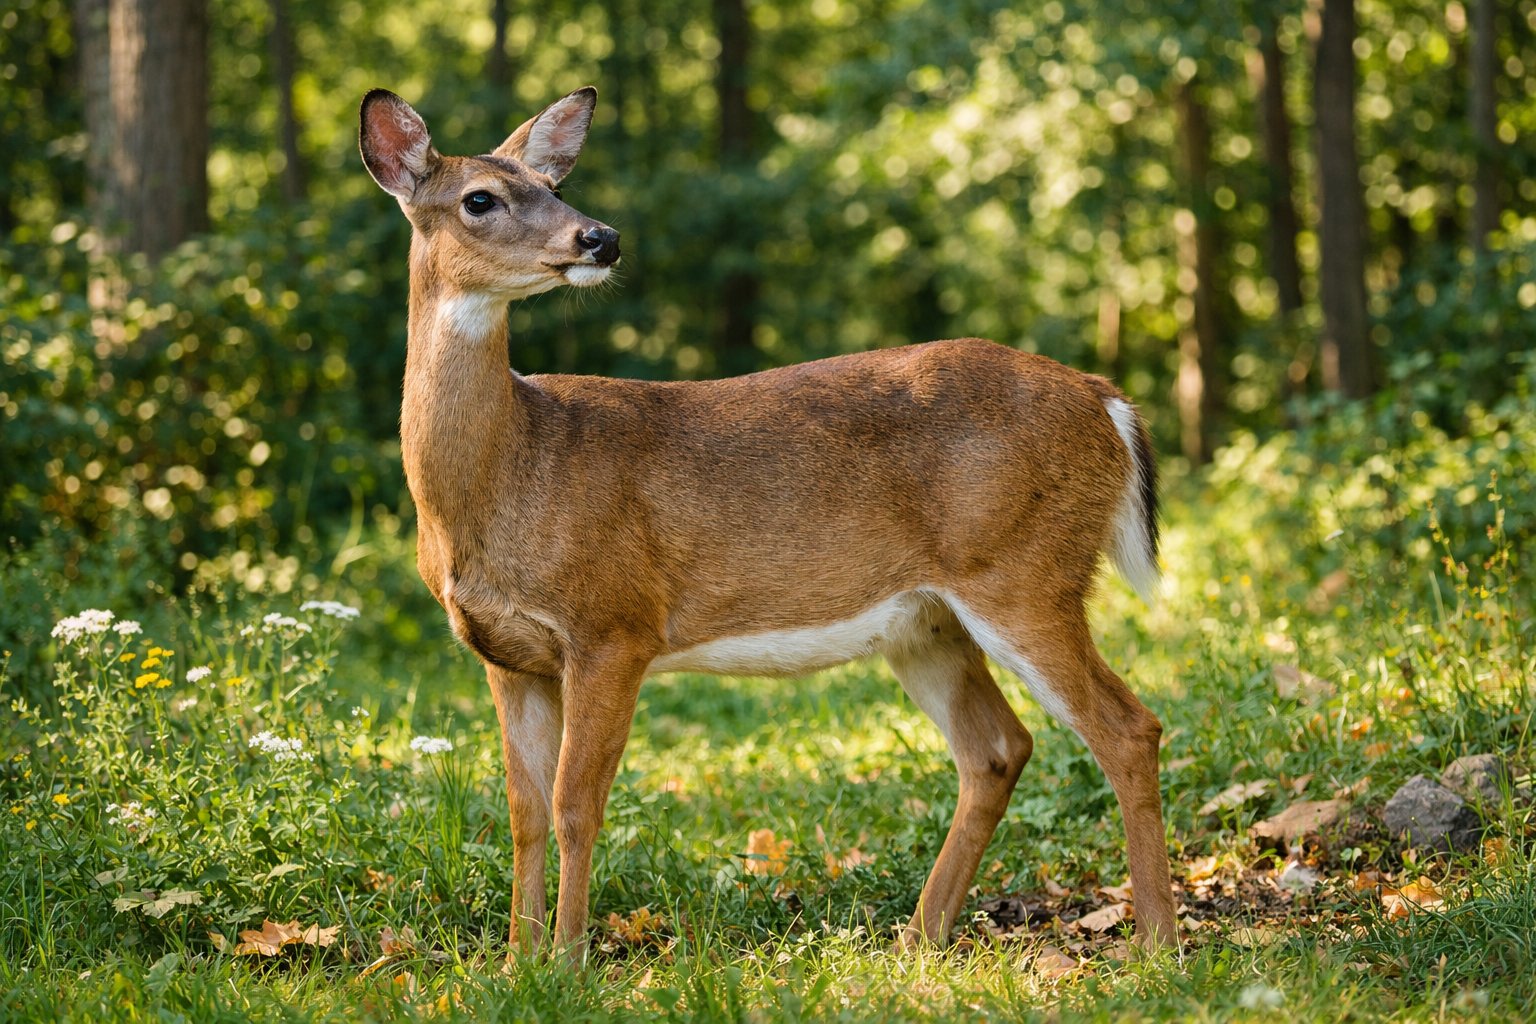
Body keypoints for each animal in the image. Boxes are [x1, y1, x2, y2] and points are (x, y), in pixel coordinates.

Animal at [359, 85, 1178, 960]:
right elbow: (521, 813)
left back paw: (1155, 943)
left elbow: (575, 805)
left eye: (551, 185)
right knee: (997, 748)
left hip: (1025, 569)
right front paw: (518, 963)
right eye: (481, 198)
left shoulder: (615, 624)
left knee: (1128, 727)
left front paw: (570, 963)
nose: (600, 238)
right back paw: (917, 938)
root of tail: (1106, 398)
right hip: (928, 621)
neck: (508, 473)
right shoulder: (509, 655)